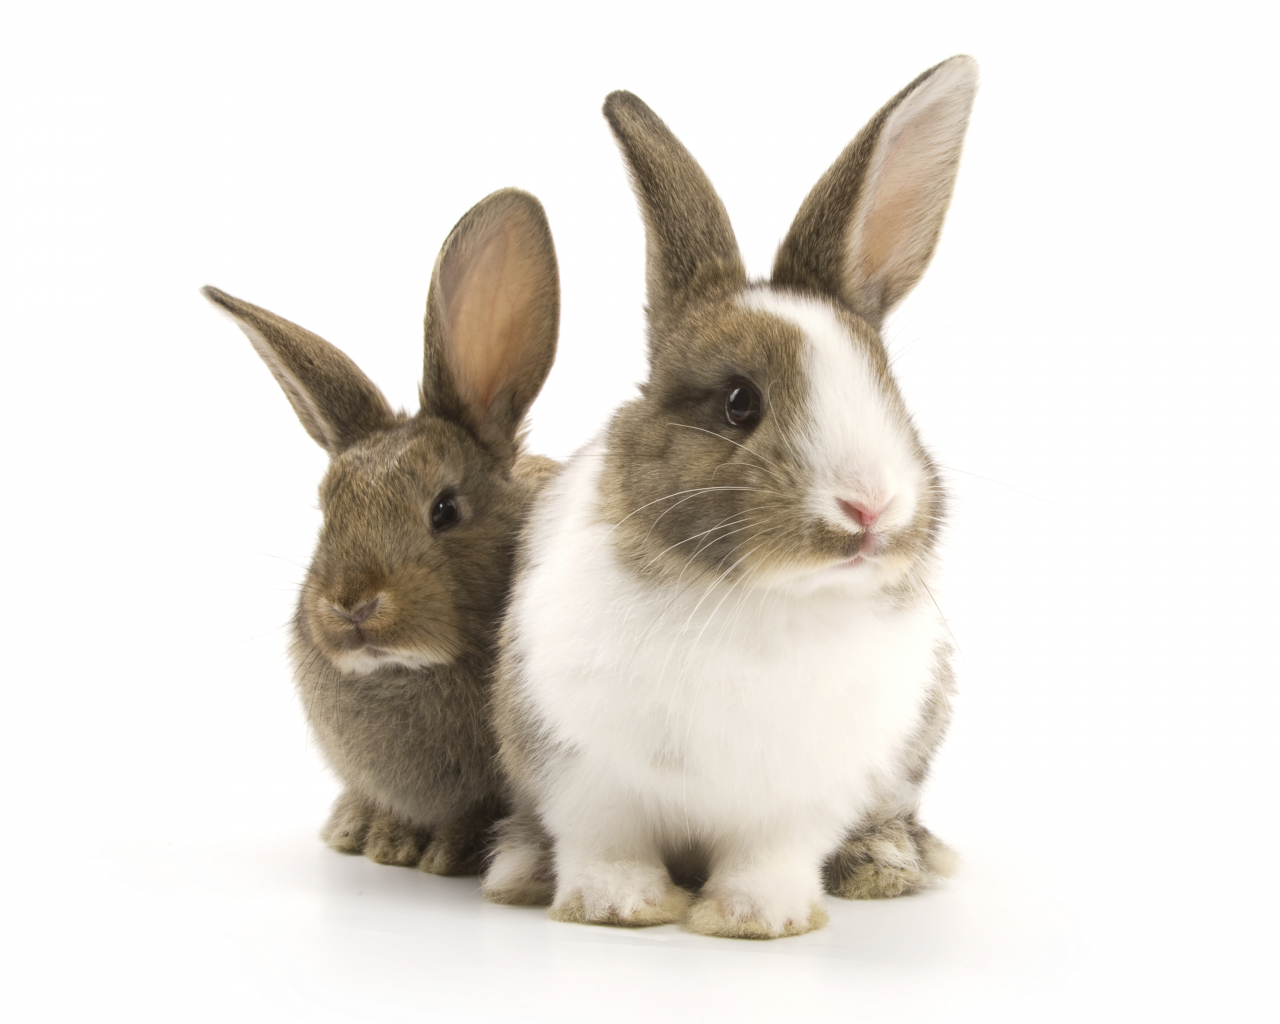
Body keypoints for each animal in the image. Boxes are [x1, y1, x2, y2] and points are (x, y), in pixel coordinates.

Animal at [482, 57, 977, 935]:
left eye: (889, 393)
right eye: (739, 402)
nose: (870, 508)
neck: (763, 598)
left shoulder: (800, 798)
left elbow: (769, 856)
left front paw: (759, 918)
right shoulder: (581, 772)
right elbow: (606, 845)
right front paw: (618, 906)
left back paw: (884, 863)